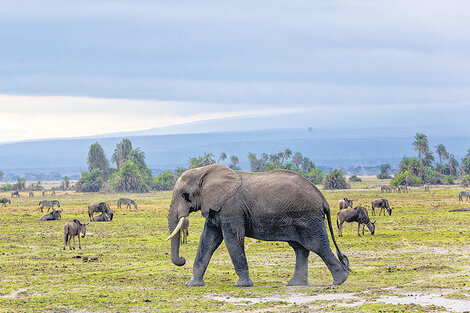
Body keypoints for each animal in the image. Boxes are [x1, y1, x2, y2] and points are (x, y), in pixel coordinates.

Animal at [167, 165, 350, 286]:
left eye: (185, 195)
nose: (182, 259)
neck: (205, 171)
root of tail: (323, 199)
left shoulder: (231, 208)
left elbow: (232, 239)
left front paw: (242, 285)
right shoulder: (215, 208)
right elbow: (208, 240)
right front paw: (193, 284)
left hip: (308, 218)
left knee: (317, 245)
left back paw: (339, 281)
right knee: (300, 248)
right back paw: (295, 284)